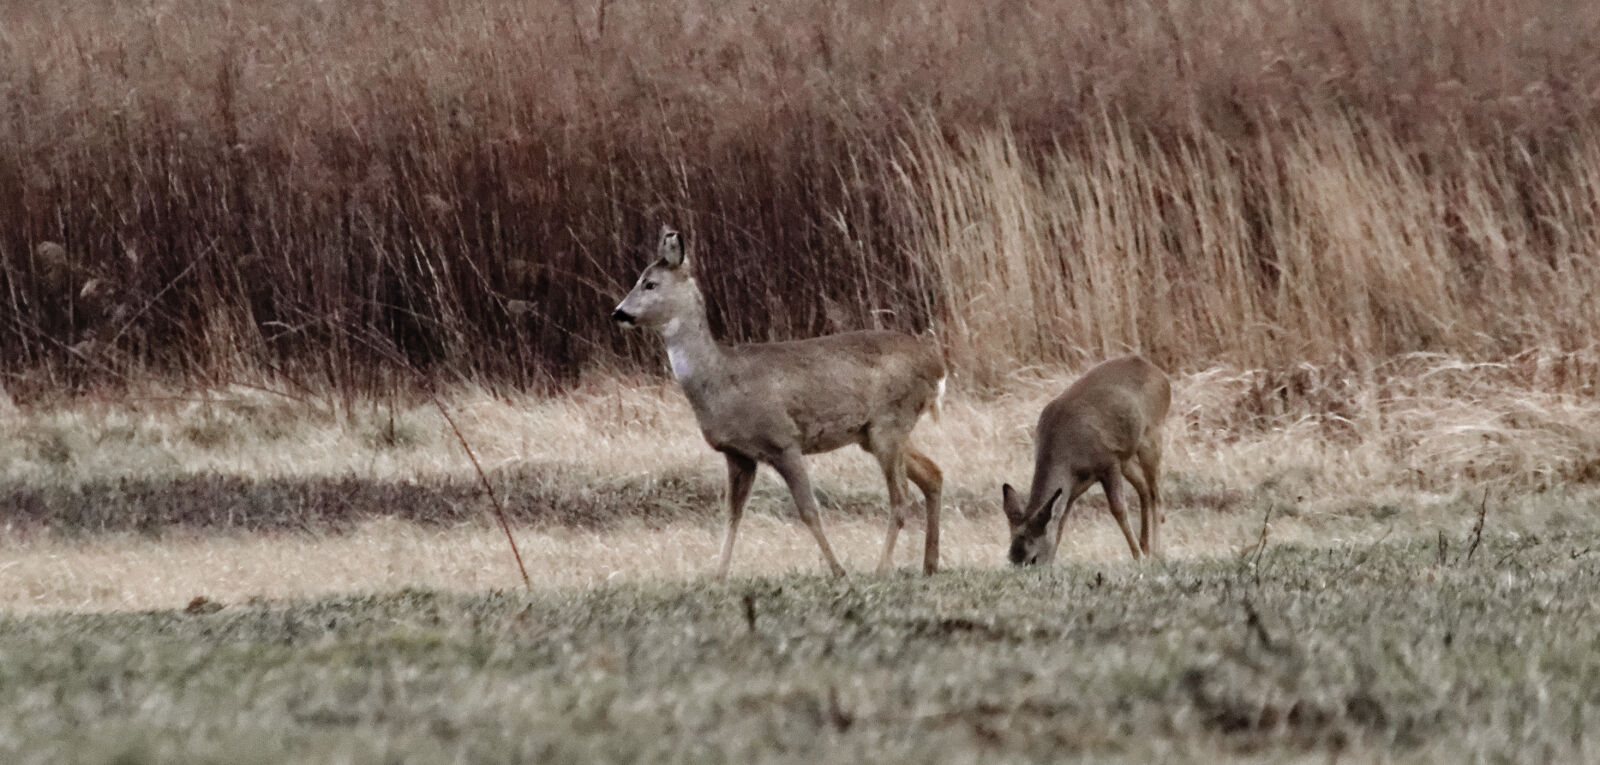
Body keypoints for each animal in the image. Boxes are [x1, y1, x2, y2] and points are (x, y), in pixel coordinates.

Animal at [612, 225, 947, 577]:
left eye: (650, 283)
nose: (618, 313)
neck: (721, 380)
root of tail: (937, 364)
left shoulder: (783, 441)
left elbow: (808, 510)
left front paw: (838, 570)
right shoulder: (738, 454)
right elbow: (732, 514)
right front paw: (719, 574)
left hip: (889, 423)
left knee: (901, 497)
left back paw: (883, 568)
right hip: (873, 433)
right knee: (933, 474)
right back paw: (930, 563)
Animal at [1001, 355, 1171, 566]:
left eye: (1032, 558)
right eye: (1010, 558)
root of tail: (1161, 375)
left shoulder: (1108, 461)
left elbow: (1118, 508)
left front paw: (1138, 557)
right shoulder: (1074, 484)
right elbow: (1061, 519)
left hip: (1152, 436)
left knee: (1156, 493)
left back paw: (1155, 552)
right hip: (1126, 456)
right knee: (1144, 488)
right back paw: (1146, 546)